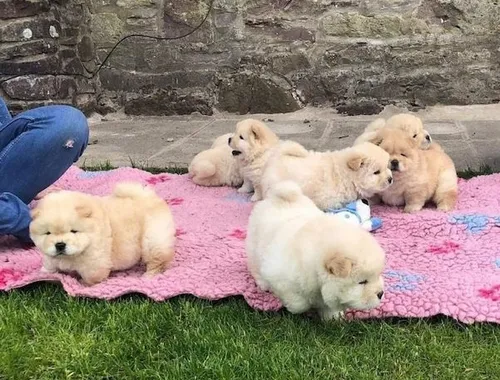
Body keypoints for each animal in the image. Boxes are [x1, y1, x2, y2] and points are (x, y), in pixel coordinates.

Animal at [29, 182, 177, 284]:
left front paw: (83, 283)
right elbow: (49, 262)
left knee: (157, 260)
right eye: (48, 233)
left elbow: (91, 276)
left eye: (74, 231)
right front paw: (45, 272)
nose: (60, 244)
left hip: (153, 240)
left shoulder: (94, 262)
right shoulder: (50, 256)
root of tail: (148, 196)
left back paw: (148, 276)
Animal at [247, 181, 386, 320]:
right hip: (254, 247)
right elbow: (299, 303)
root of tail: (280, 197)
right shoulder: (278, 276)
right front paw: (299, 307)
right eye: (362, 282)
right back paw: (263, 284)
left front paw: (334, 317)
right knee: (255, 267)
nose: (381, 293)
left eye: (377, 275)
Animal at [260, 141, 392, 209]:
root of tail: (276, 156)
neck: (347, 176)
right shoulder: (327, 200)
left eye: (387, 167)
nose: (390, 179)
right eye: (376, 172)